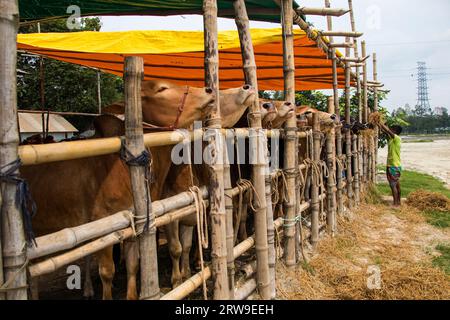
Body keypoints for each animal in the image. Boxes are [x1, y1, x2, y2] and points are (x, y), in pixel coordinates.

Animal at [22, 80, 216, 300]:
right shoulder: (104, 226)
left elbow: (134, 264)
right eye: (162, 89)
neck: (123, 166)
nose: (209, 90)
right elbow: (108, 271)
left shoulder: (134, 222)